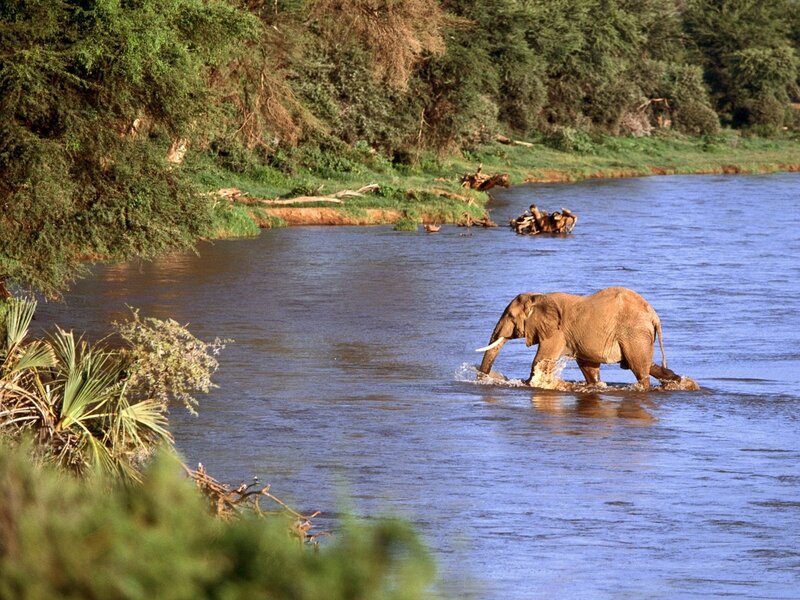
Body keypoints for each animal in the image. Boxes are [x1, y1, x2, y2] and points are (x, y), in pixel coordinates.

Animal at [476, 287, 682, 389]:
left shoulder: (557, 332)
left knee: (639, 369)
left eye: (511, 316)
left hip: (634, 333)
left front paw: (527, 384)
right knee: (646, 365)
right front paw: (596, 385)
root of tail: (654, 316)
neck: (539, 296)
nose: (484, 378)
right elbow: (588, 367)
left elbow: (540, 361)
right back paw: (677, 381)